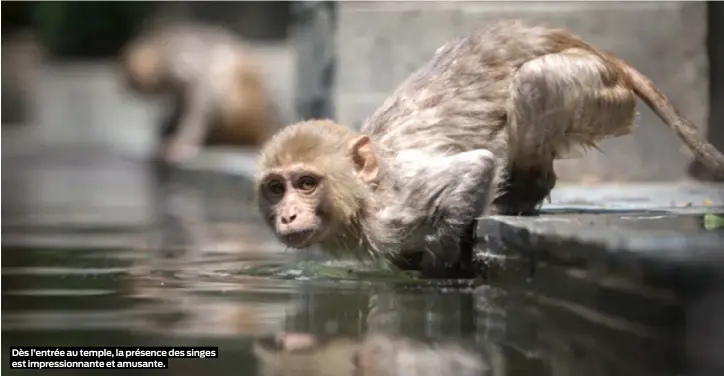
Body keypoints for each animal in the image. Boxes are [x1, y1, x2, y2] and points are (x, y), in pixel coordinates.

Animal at [258, 21, 724, 280]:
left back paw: (521, 196)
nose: (288, 215)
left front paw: (441, 267)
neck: (362, 199)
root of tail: (597, 52)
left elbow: (474, 168)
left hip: (598, 91)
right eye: (276, 189)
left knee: (535, 79)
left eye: (305, 182)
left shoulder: (395, 208)